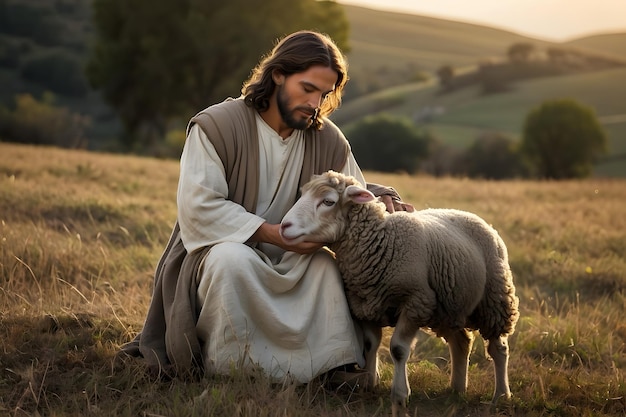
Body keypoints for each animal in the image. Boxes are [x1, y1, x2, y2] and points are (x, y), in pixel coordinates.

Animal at [280, 170, 520, 416]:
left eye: (328, 201)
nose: (283, 226)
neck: (381, 241)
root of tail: (475, 217)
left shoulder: (415, 302)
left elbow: (397, 350)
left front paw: (400, 397)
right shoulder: (364, 305)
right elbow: (370, 344)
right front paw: (369, 383)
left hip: (494, 298)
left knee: (498, 348)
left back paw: (501, 395)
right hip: (449, 305)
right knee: (461, 341)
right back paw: (457, 389)